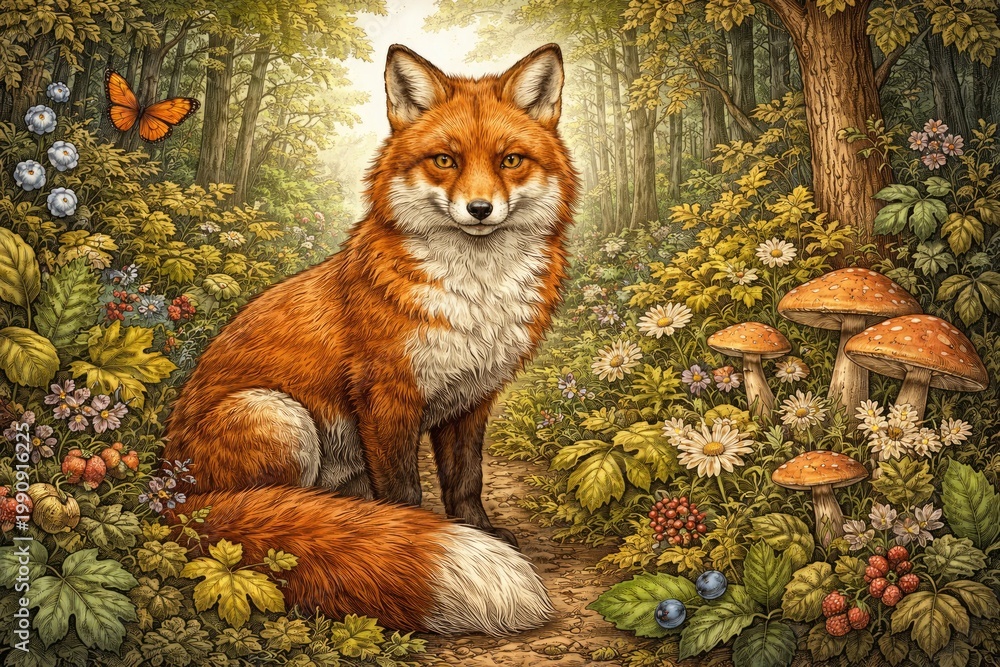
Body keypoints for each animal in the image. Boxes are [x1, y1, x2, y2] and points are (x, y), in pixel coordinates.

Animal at [161, 43, 579, 636]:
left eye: (510, 161)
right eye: (445, 161)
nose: (479, 209)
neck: (475, 295)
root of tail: (167, 499)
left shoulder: (472, 398)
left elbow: (466, 480)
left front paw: (477, 528)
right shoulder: (386, 397)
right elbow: (405, 492)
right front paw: (408, 534)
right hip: (278, 415)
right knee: (268, 508)